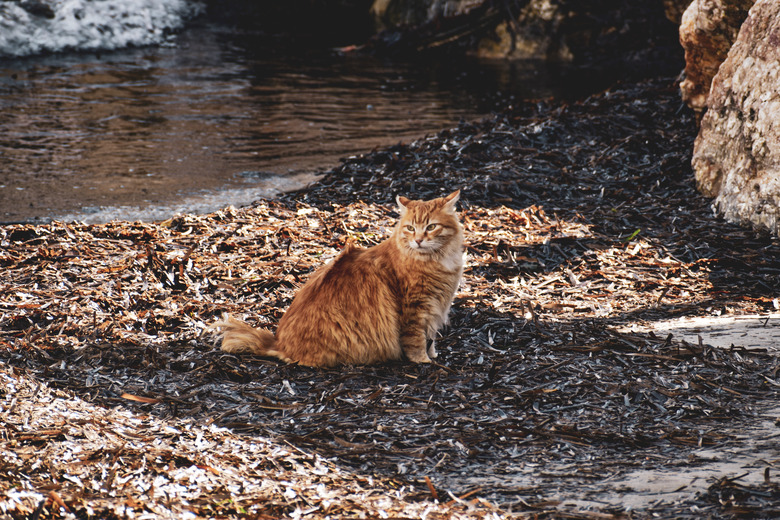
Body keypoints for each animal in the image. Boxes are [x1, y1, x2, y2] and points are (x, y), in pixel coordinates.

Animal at [213, 190, 464, 366]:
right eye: (411, 228)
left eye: (431, 227)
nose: (419, 240)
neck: (438, 260)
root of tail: (278, 341)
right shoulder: (415, 308)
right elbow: (416, 340)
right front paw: (423, 360)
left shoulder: (435, 305)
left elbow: (431, 336)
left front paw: (433, 354)